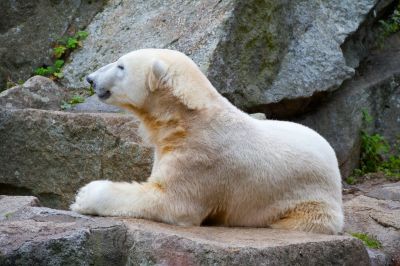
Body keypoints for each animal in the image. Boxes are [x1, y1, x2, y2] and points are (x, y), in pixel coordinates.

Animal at [69, 48, 344, 234]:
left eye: (121, 66)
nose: (90, 78)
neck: (188, 120)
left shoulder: (203, 159)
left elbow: (171, 200)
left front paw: (84, 196)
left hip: (308, 200)